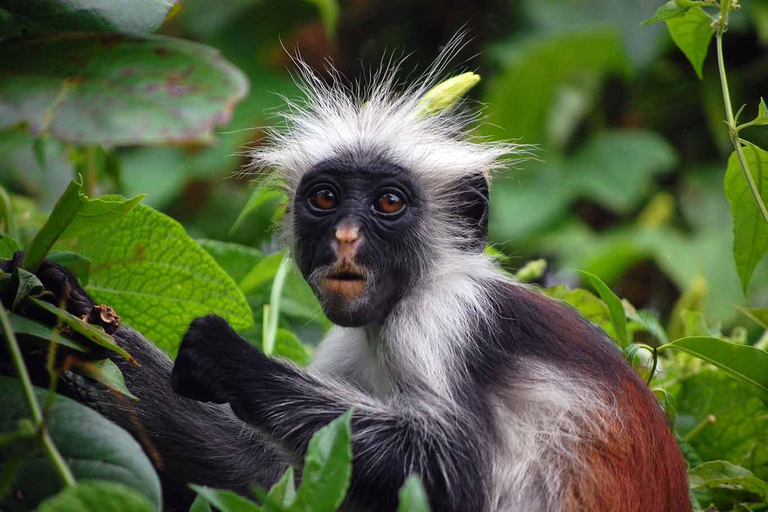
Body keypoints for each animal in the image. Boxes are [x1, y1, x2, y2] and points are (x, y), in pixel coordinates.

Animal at [4, 40, 688, 512]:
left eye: (388, 203)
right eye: (326, 198)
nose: (346, 237)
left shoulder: (446, 318)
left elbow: (454, 468)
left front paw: (228, 358)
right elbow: (267, 476)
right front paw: (58, 314)